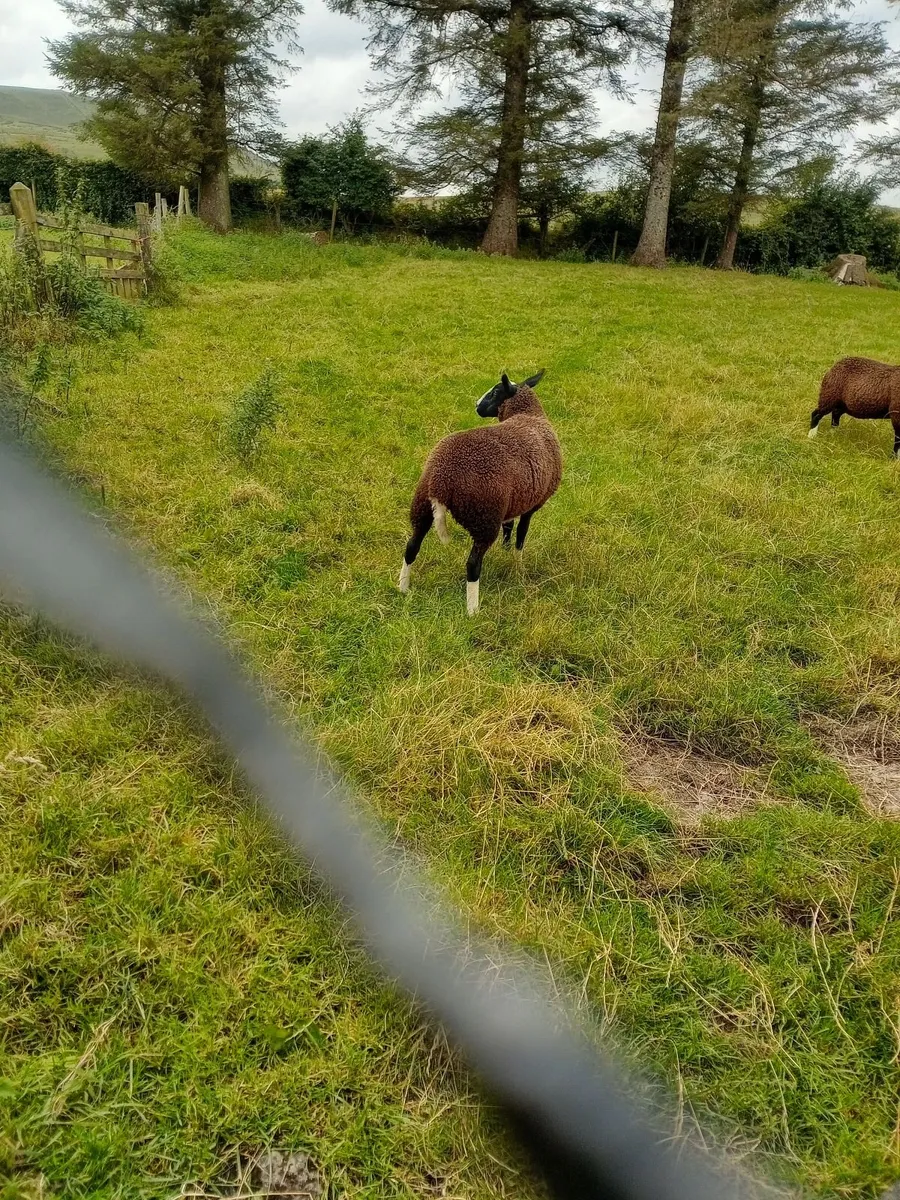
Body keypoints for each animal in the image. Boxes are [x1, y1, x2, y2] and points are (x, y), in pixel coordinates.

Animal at [398, 369, 562, 615]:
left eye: (495, 392)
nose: (476, 405)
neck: (528, 415)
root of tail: (440, 481)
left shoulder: (514, 502)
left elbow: (509, 528)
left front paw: (505, 552)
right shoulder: (531, 505)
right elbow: (521, 537)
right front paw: (518, 568)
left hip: (422, 506)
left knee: (411, 547)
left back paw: (402, 588)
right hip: (484, 516)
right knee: (473, 564)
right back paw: (473, 610)